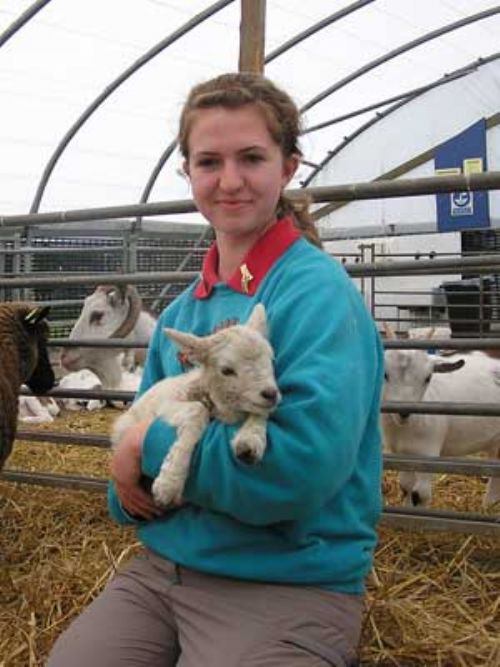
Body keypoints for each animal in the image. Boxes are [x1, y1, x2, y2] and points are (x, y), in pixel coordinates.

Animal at [111, 303, 280, 507]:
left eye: (271, 359)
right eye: (226, 370)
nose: (271, 394)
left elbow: (261, 413)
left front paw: (250, 441)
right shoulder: (166, 404)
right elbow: (197, 410)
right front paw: (169, 483)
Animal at [382, 344, 500, 508]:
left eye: (427, 378)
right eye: (385, 375)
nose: (404, 412)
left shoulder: (427, 453)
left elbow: (420, 494)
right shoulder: (402, 454)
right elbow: (406, 487)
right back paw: (489, 504)